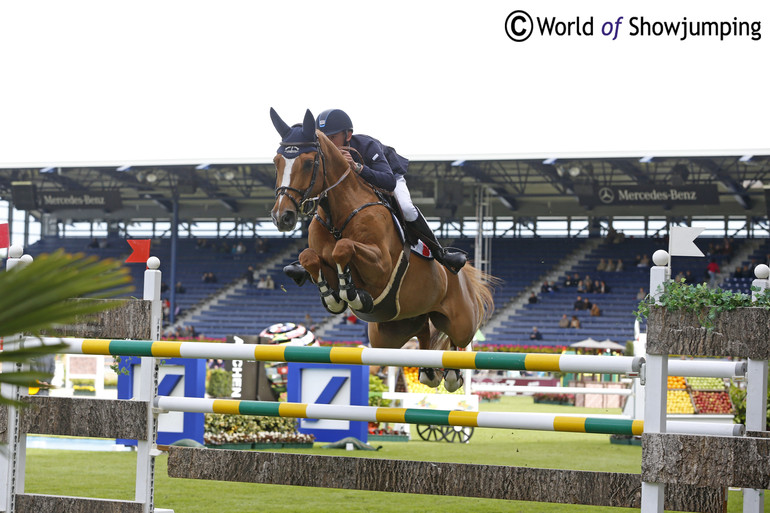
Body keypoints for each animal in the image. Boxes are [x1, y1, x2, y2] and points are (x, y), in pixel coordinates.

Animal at [268, 106, 496, 390]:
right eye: (276, 161)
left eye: (309, 162)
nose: (282, 217)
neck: (338, 216)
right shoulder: (321, 258)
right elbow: (310, 257)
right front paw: (334, 297)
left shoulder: (382, 266)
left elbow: (343, 248)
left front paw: (351, 293)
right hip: (391, 331)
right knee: (423, 333)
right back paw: (428, 371)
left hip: (460, 320)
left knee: (458, 341)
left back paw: (452, 373)